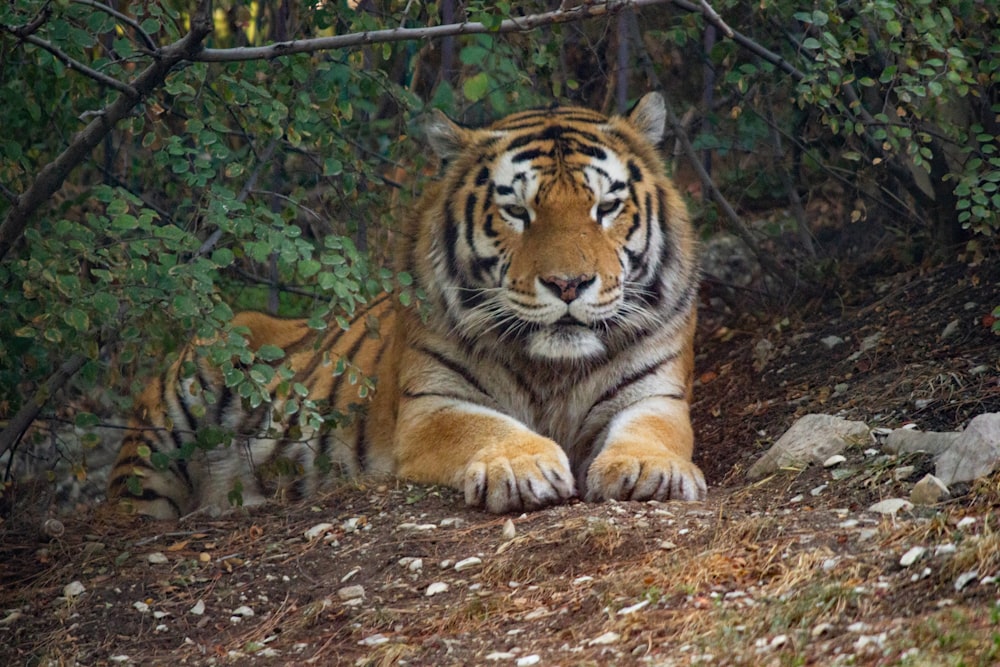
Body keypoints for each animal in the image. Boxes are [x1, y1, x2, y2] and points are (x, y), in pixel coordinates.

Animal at [107, 92, 704, 520]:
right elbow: (484, 428)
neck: (552, 370)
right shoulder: (431, 406)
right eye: (516, 210)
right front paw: (522, 466)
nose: (568, 284)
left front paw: (648, 469)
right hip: (174, 415)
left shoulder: (658, 394)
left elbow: (652, 431)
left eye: (606, 206)